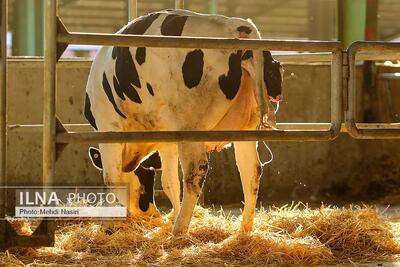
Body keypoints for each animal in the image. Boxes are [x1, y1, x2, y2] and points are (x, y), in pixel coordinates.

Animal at [85, 9, 282, 234]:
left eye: (146, 182)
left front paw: (109, 225)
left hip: (191, 130)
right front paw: (172, 214)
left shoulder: (109, 127)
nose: (152, 214)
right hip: (245, 129)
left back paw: (179, 230)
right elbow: (169, 182)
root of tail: (237, 25)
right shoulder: (166, 137)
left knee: (195, 174)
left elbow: (112, 178)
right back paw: (244, 230)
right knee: (251, 171)